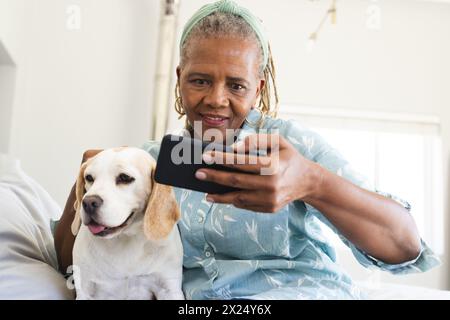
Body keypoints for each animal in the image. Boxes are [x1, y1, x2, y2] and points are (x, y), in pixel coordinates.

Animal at [70, 148, 183, 300]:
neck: (126, 238)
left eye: (124, 178)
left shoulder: (169, 289)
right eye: (89, 178)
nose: (88, 203)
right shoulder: (85, 290)